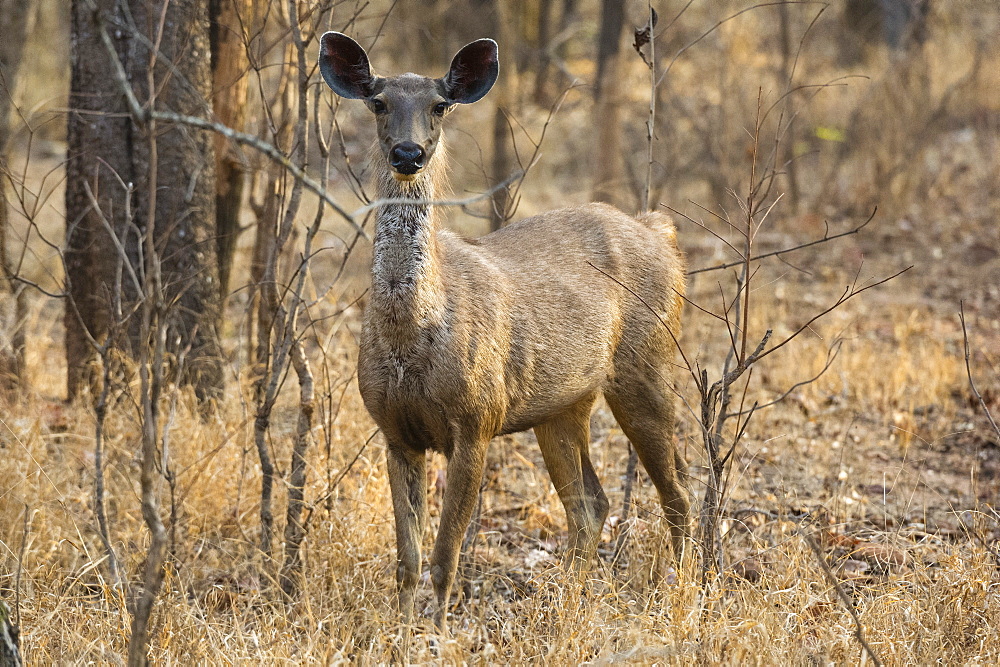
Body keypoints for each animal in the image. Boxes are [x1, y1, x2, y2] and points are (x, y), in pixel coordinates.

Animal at [322, 32, 696, 636]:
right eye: (378, 102)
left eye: (439, 105)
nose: (408, 154)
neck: (412, 336)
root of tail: (660, 230)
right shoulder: (394, 431)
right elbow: (406, 561)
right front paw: (399, 638)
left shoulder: (475, 421)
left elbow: (445, 557)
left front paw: (438, 638)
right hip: (561, 405)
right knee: (590, 505)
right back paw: (568, 610)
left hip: (647, 365)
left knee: (679, 490)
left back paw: (680, 597)